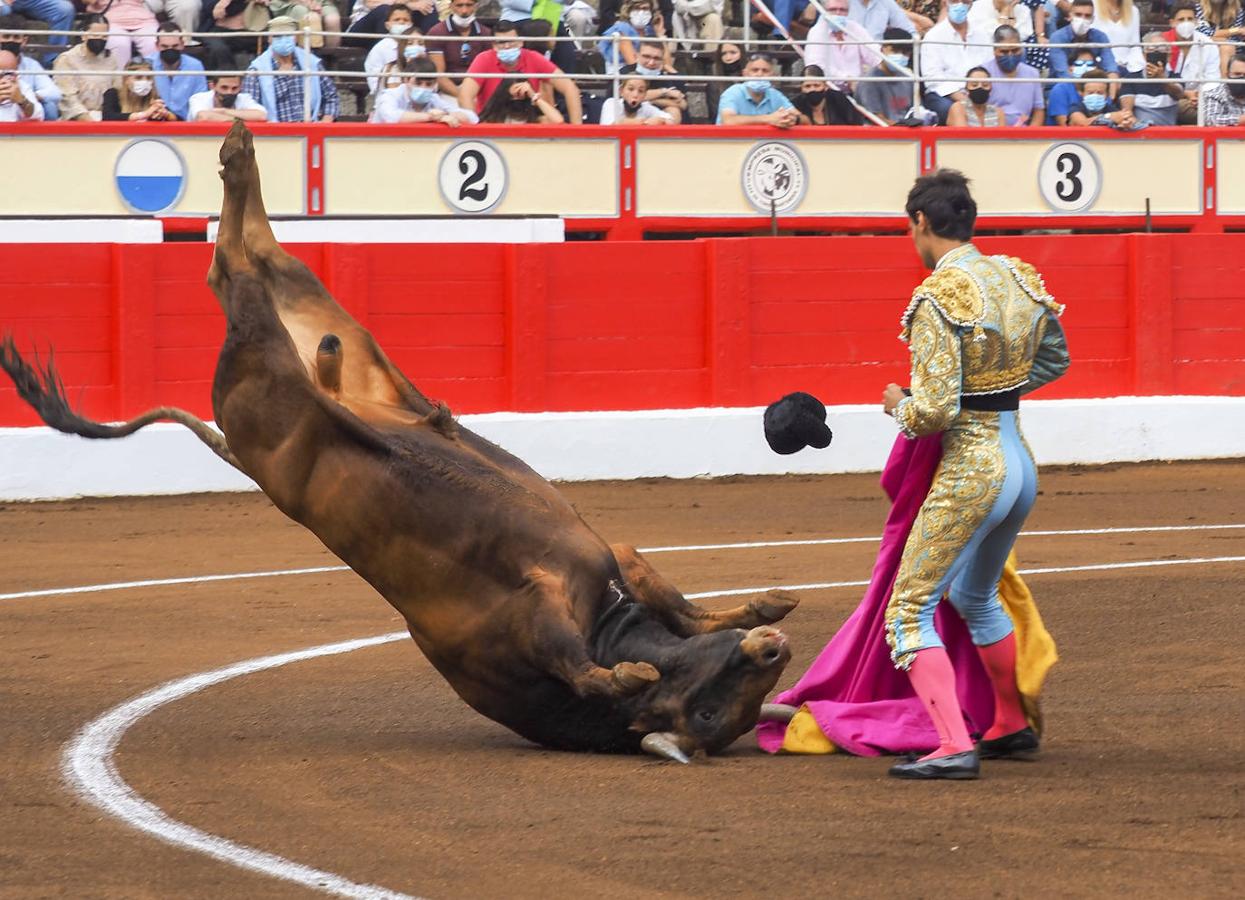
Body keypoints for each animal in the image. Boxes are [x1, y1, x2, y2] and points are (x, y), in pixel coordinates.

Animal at [0, 123, 796, 761]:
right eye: (708, 709)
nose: (775, 651)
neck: (605, 619)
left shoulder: (617, 558)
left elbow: (682, 605)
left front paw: (762, 608)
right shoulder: (541, 610)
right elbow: (584, 656)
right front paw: (631, 672)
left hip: (327, 323)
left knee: (252, 258)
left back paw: (239, 149)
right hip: (271, 364)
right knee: (231, 266)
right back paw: (235, 151)